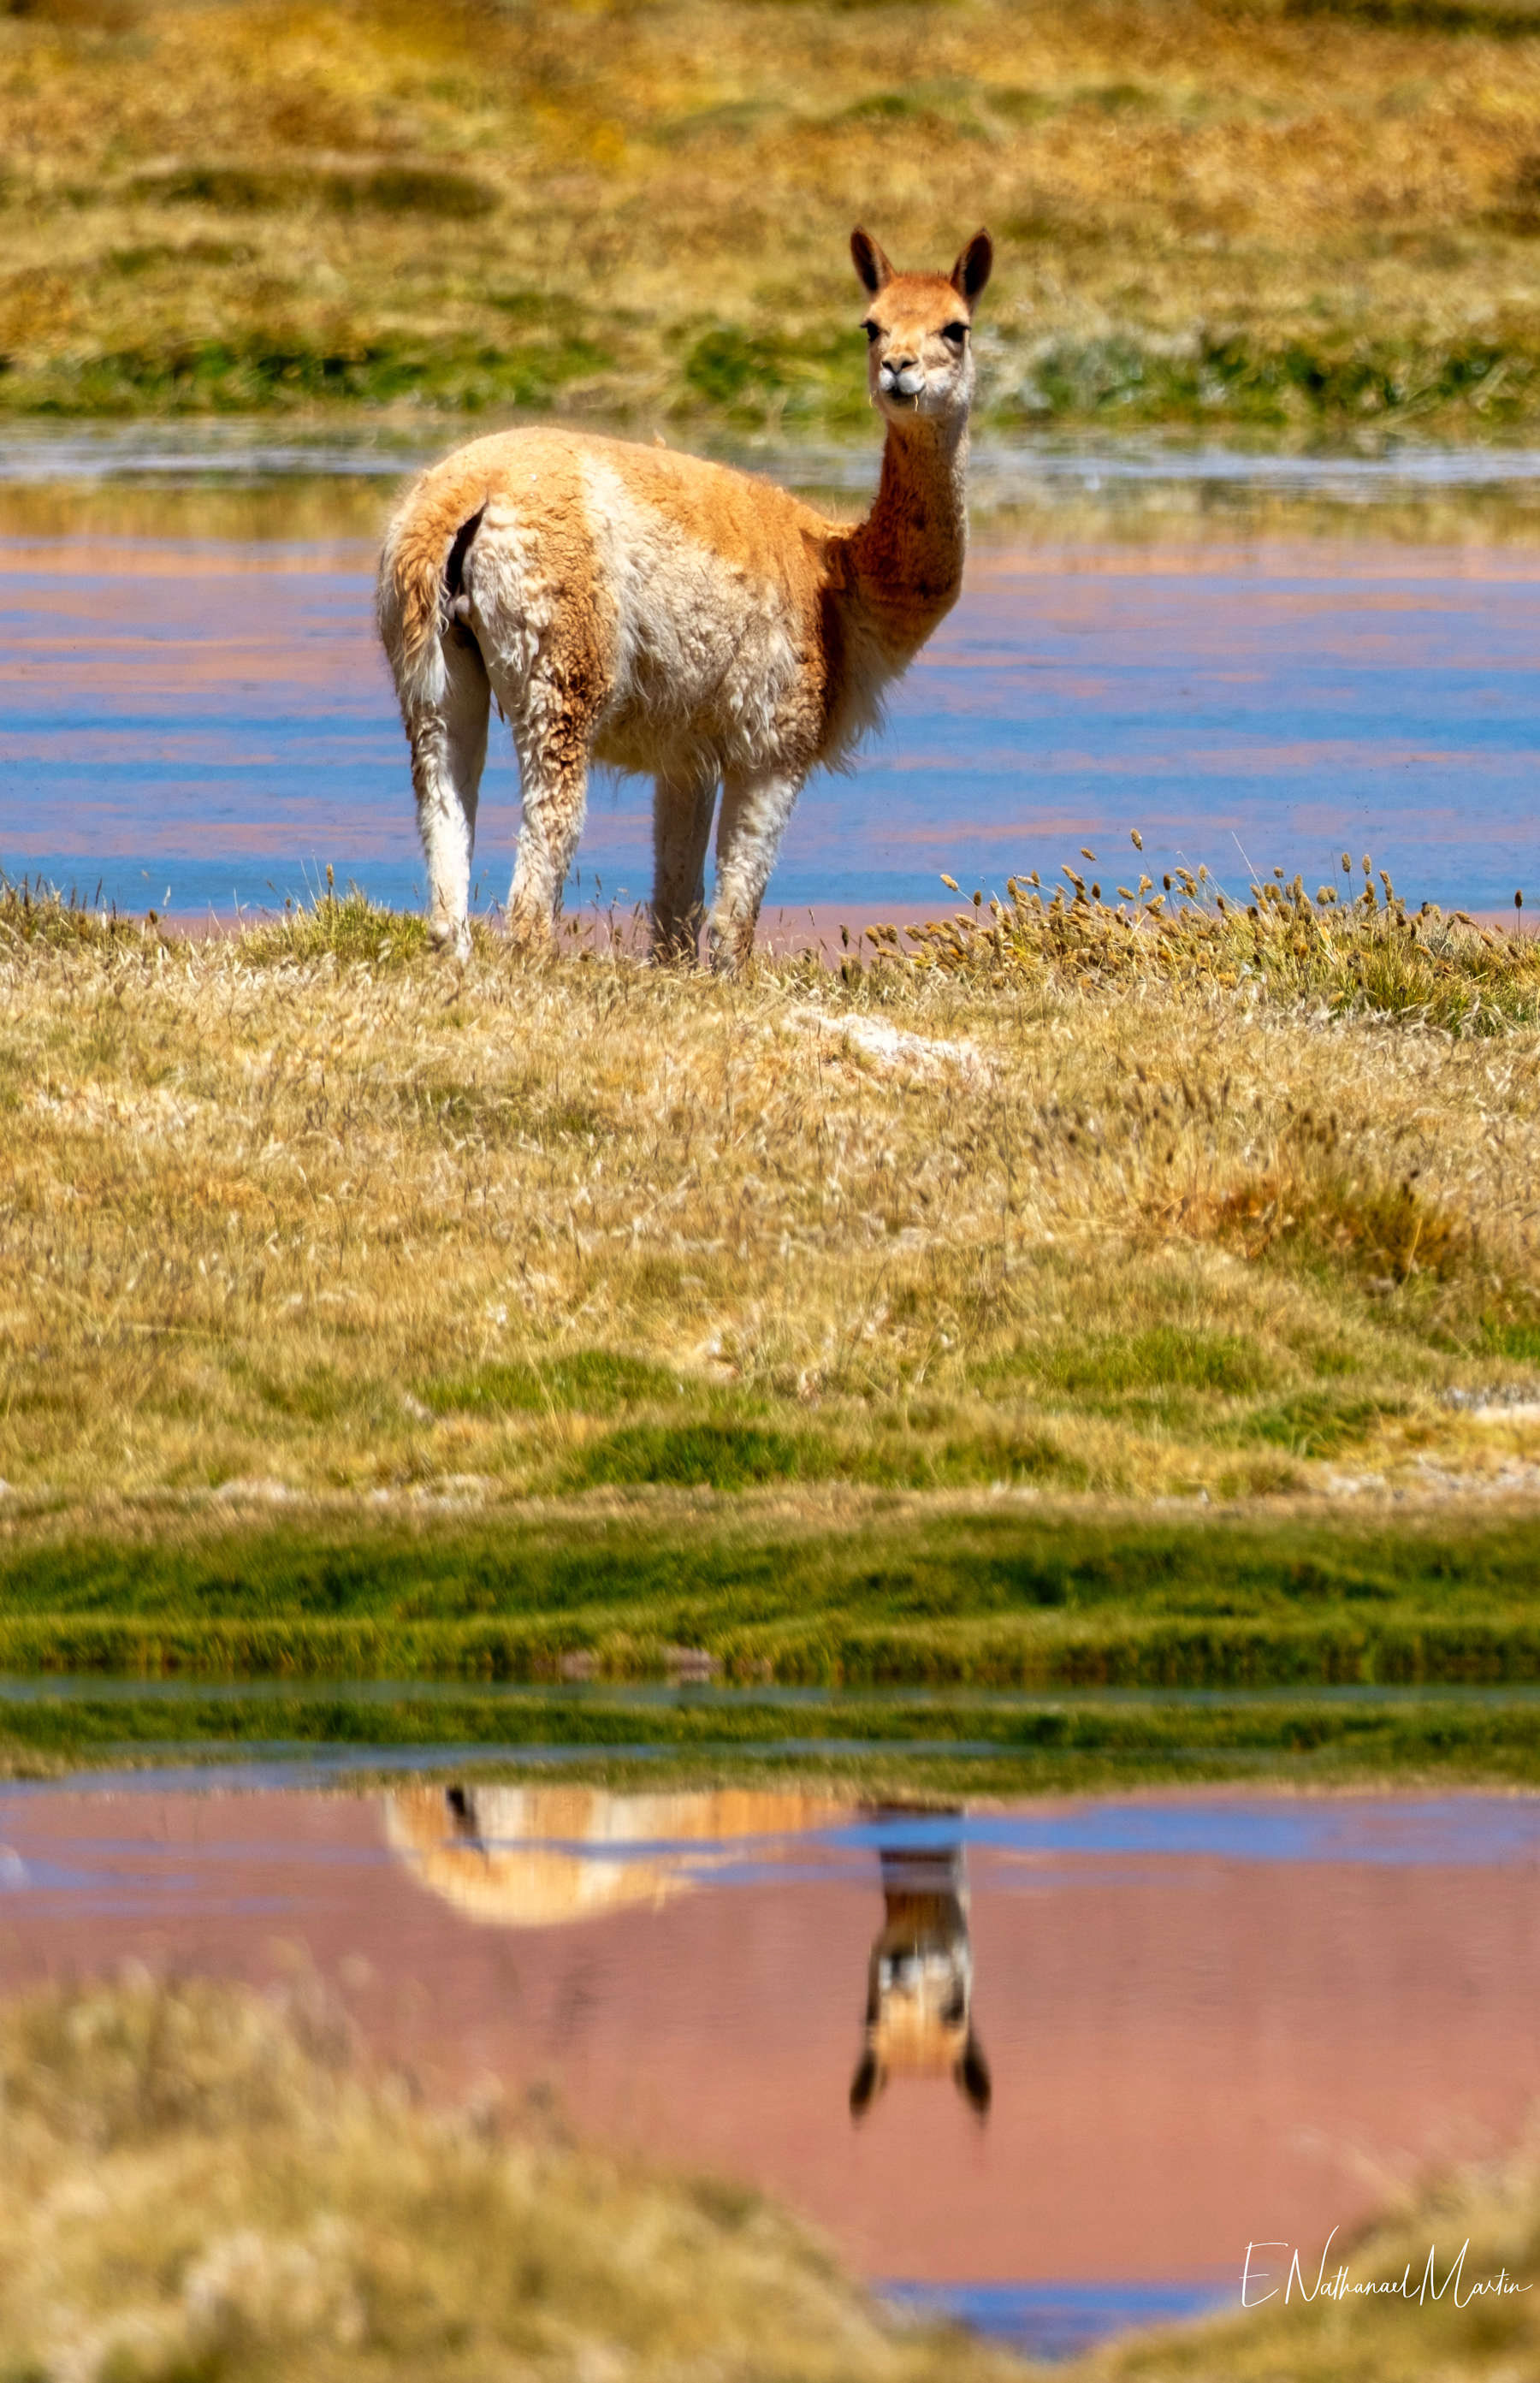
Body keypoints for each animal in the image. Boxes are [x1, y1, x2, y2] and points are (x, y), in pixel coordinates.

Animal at [376, 226, 992, 973]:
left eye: (955, 328)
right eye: (871, 325)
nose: (899, 370)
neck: (842, 582)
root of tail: (468, 493)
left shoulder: (686, 754)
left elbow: (674, 914)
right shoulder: (772, 743)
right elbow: (732, 923)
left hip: (433, 670)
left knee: (444, 832)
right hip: (564, 660)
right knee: (534, 880)